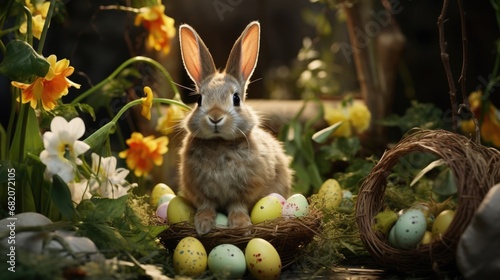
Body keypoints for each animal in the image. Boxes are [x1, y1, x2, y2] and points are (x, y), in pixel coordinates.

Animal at [178, 20, 292, 235]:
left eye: (236, 98)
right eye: (199, 99)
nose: (215, 117)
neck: (219, 143)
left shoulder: (245, 191)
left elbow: (237, 206)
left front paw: (241, 225)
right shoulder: (200, 191)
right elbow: (206, 206)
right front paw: (203, 226)